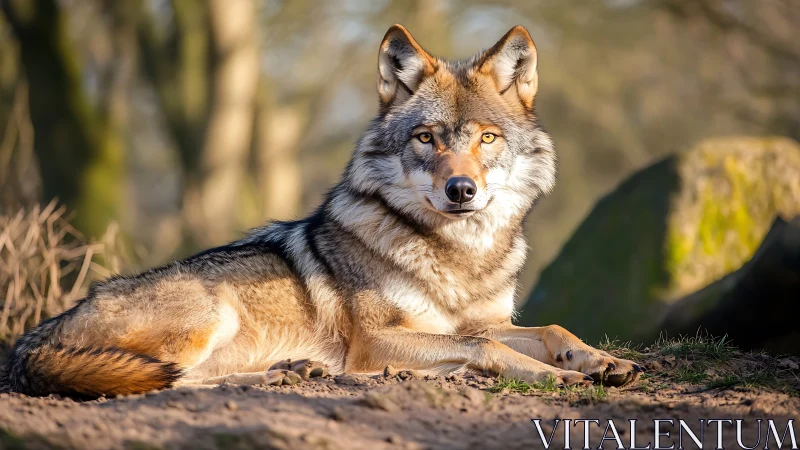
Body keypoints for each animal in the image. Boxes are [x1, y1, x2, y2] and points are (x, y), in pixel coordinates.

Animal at [8, 24, 642, 397]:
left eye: (487, 139)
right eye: (427, 138)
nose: (461, 190)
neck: (459, 257)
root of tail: (30, 341)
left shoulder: (483, 321)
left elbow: (545, 328)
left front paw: (600, 360)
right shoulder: (380, 337)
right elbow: (491, 350)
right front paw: (561, 374)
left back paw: (306, 370)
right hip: (211, 314)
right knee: (174, 381)